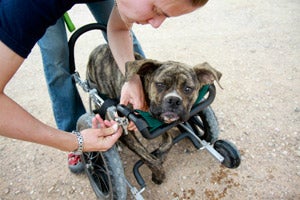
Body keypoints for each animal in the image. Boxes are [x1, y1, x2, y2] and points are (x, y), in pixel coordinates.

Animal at [83, 43, 221, 184]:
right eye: (160, 84)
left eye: (188, 89)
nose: (174, 100)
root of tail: (99, 47)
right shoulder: (127, 131)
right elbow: (148, 158)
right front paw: (158, 174)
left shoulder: (160, 123)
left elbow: (168, 141)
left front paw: (160, 154)